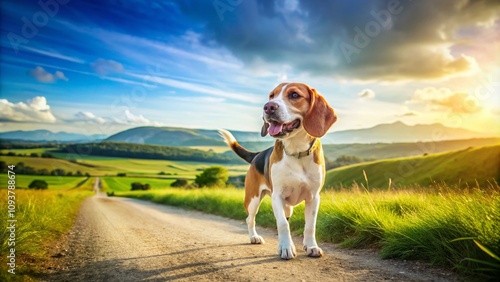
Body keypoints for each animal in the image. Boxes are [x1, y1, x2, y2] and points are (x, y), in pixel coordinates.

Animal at [219, 82, 336, 260]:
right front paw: (286, 248)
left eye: (294, 95)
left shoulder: (314, 197)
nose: (268, 107)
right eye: (271, 96)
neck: (296, 151)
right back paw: (254, 237)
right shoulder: (277, 196)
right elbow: (282, 224)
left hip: (288, 207)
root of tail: (256, 155)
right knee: (250, 219)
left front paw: (311, 247)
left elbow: (310, 225)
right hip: (253, 199)